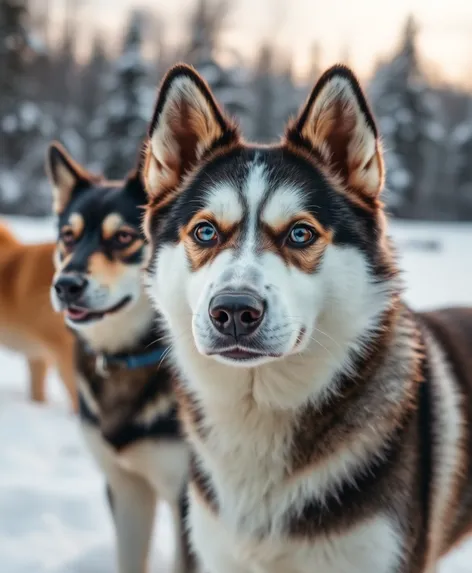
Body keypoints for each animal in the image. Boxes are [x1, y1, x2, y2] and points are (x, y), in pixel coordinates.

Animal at [47, 142, 195, 572]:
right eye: (68, 236)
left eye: (124, 237)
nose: (66, 285)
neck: (132, 356)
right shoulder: (126, 488)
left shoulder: (188, 498)